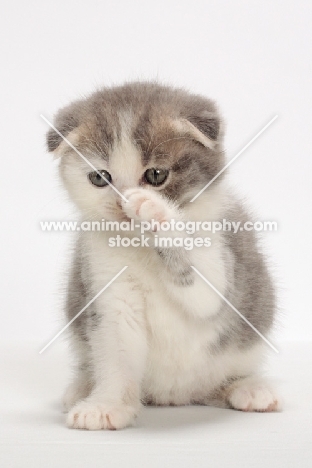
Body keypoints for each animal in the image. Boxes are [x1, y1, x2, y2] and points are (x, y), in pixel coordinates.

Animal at [47, 81, 280, 432]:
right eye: (100, 178)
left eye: (156, 175)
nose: (124, 205)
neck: (141, 248)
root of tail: (175, 396)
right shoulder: (106, 287)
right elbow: (116, 349)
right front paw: (107, 404)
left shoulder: (223, 258)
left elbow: (203, 287)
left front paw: (157, 214)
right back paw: (83, 386)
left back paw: (248, 388)